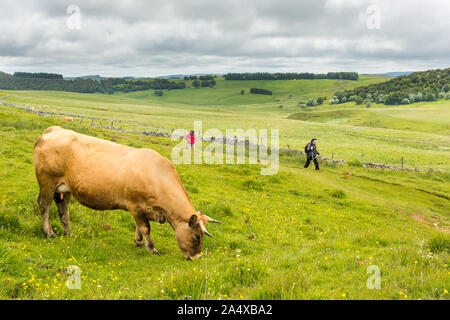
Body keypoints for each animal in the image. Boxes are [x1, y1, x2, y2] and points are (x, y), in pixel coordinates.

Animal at [33, 126, 220, 258]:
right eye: (197, 236)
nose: (197, 257)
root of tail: (53, 130)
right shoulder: (135, 205)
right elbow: (145, 228)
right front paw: (152, 248)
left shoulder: (143, 210)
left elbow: (139, 227)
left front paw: (138, 242)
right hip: (48, 182)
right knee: (44, 205)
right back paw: (49, 233)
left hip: (65, 188)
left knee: (63, 209)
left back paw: (69, 234)